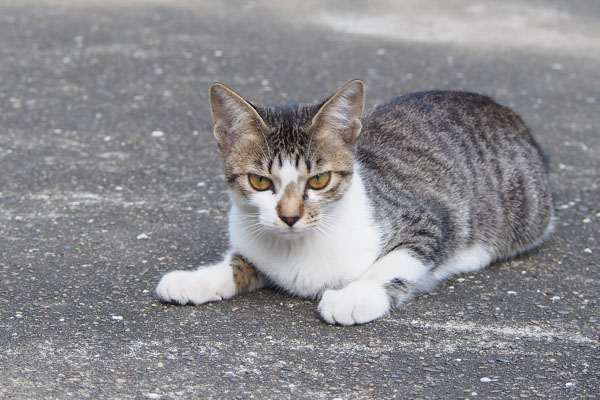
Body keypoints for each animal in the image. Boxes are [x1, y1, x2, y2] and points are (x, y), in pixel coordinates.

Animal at [155, 79, 552, 324]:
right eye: (260, 181)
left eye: (319, 180)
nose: (289, 217)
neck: (298, 248)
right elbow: (239, 262)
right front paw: (197, 279)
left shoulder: (431, 218)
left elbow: (397, 260)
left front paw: (355, 296)